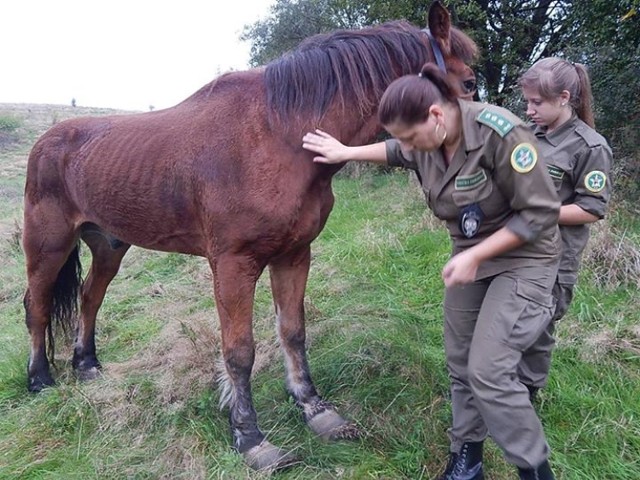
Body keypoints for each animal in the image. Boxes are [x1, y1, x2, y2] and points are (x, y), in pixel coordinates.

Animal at [22, 0, 478, 472]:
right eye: (470, 82)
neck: (278, 136)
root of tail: (47, 141)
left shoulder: (294, 254)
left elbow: (293, 332)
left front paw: (315, 410)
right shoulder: (232, 265)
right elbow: (239, 352)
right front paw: (252, 439)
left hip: (109, 244)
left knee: (90, 296)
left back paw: (87, 365)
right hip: (48, 243)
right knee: (37, 305)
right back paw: (40, 379)